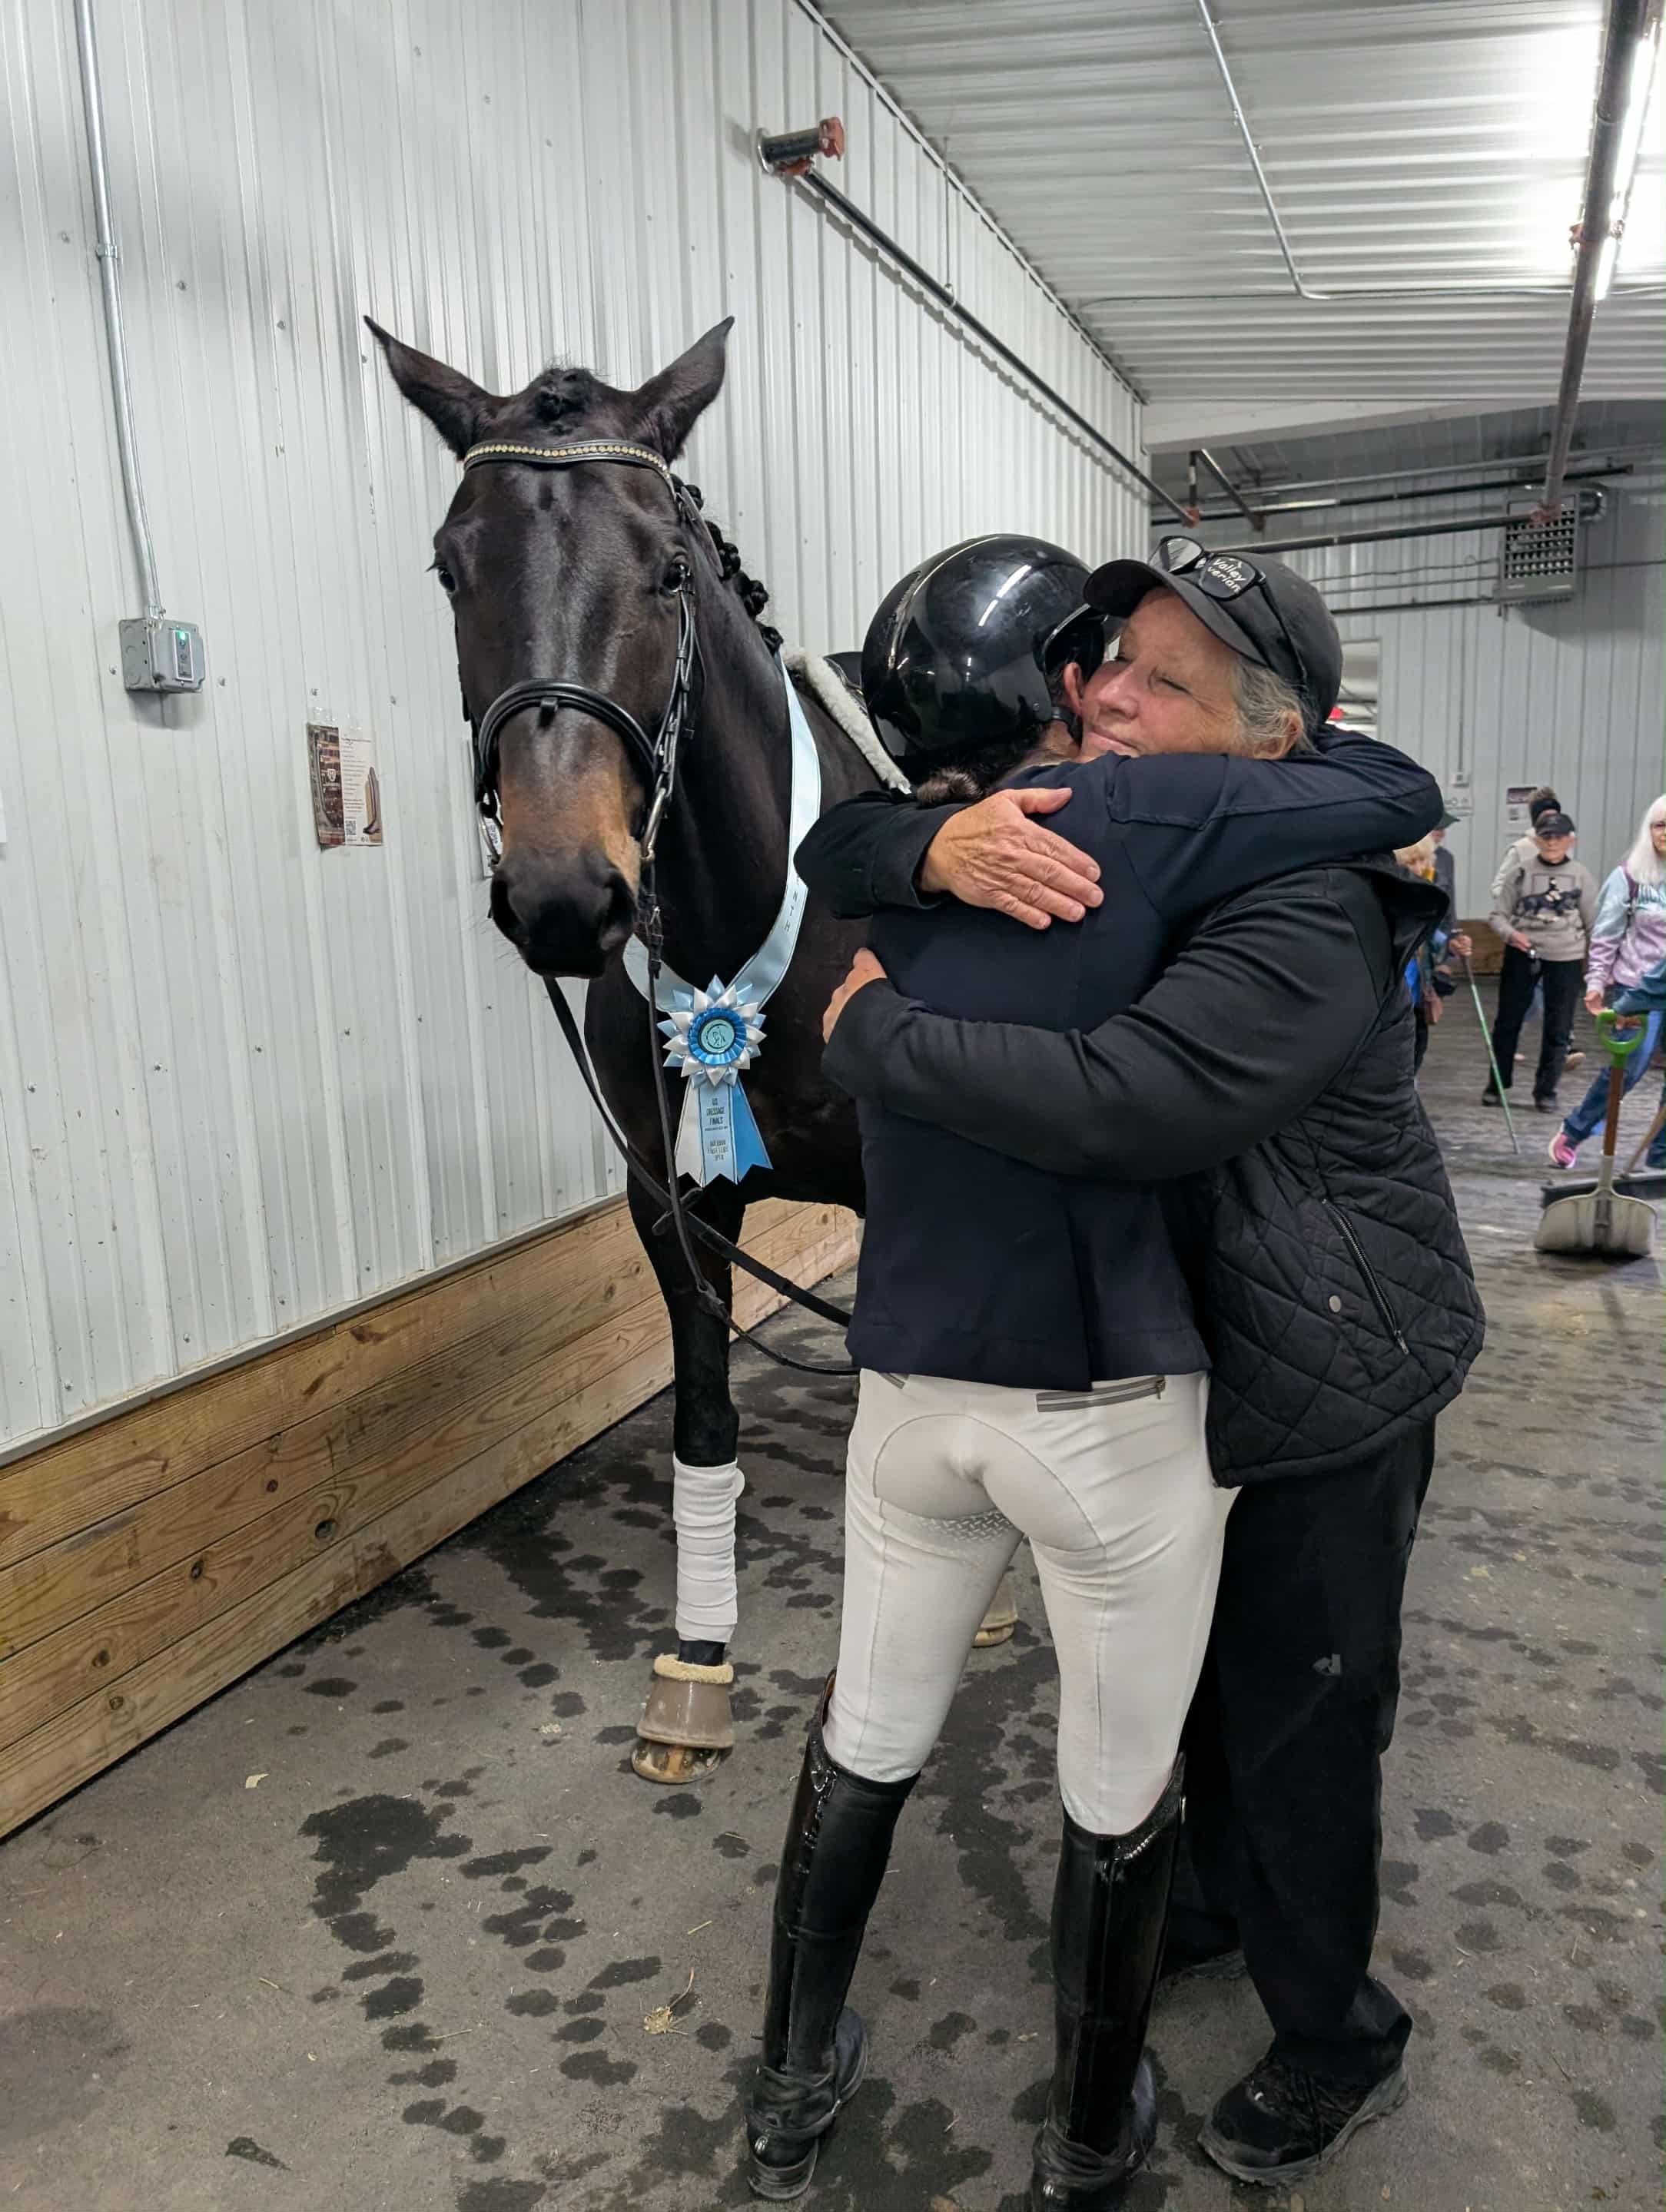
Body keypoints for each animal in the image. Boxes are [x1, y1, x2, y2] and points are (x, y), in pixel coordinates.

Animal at [371, 315, 1013, 1781]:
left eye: (665, 566)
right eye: (449, 563)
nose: (563, 892)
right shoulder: (672, 1199)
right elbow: (704, 1418)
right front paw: (699, 1665)